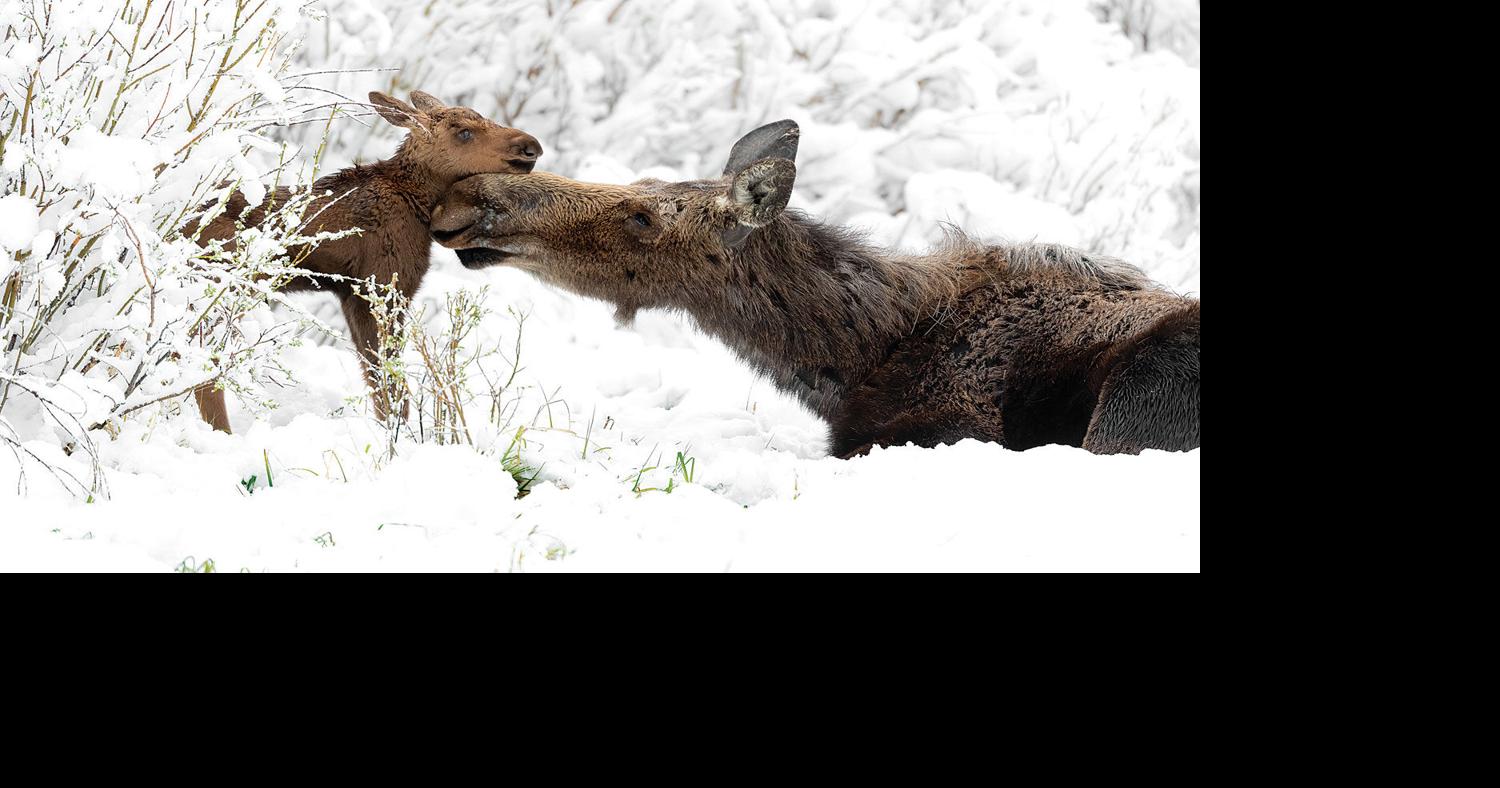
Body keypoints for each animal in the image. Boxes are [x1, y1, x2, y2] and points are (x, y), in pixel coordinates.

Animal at [184, 90, 542, 433]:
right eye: (464, 133)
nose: (531, 146)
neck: (419, 203)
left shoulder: (351, 294)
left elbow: (377, 382)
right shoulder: (382, 288)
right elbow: (390, 386)